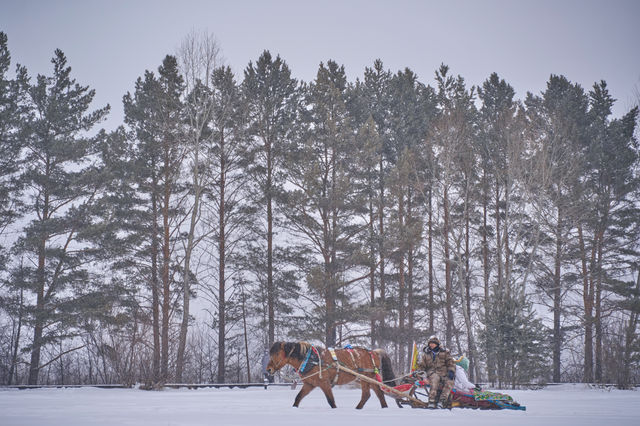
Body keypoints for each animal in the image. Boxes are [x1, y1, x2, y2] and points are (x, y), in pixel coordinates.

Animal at [264, 342, 396, 408]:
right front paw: (294, 408)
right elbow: (298, 398)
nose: (269, 369)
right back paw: (383, 408)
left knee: (367, 395)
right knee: (379, 394)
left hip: (366, 378)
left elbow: (331, 401)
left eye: (277, 354)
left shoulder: (324, 383)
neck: (312, 359)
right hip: (370, 379)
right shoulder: (309, 384)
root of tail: (373, 352)